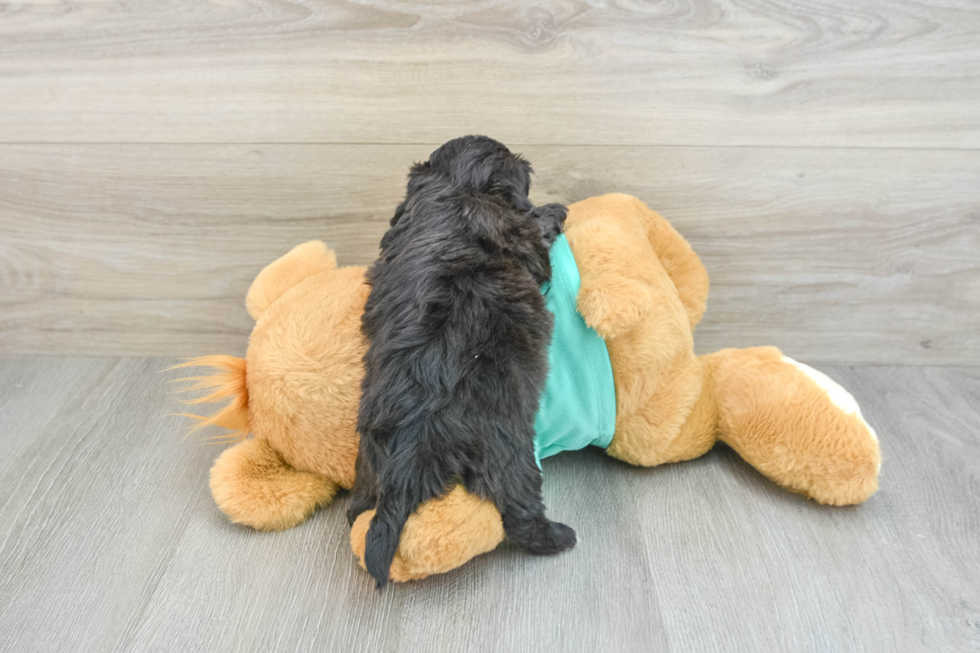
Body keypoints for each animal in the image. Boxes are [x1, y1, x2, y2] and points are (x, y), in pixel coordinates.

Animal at [346, 134, 572, 584]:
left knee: (356, 508)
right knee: (520, 511)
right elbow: (535, 229)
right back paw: (559, 538)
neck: (455, 185)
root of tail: (409, 443)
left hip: (368, 460)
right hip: (508, 452)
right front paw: (554, 210)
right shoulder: (519, 233)